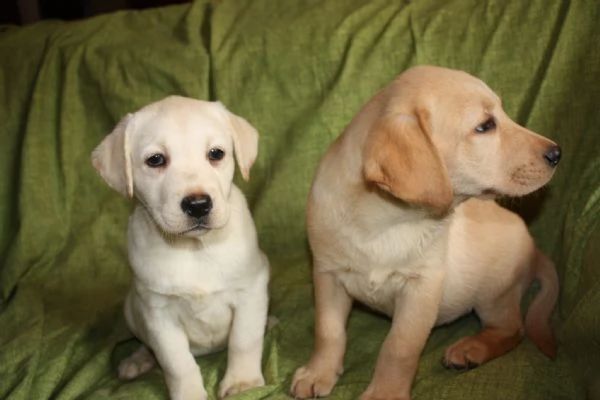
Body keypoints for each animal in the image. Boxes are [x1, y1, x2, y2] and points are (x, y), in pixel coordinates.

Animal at [92, 96, 270, 400]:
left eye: (216, 154)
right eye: (155, 160)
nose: (198, 204)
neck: (194, 249)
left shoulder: (251, 291)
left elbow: (244, 340)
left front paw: (242, 382)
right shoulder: (158, 313)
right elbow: (177, 363)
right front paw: (189, 393)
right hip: (132, 309)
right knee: (147, 345)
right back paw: (137, 360)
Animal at [292, 66, 560, 400]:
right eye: (485, 126)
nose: (557, 153)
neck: (384, 223)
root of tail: (536, 251)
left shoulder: (422, 286)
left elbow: (398, 347)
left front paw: (385, 394)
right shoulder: (327, 275)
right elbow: (328, 331)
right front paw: (318, 372)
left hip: (494, 293)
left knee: (514, 329)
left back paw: (470, 349)